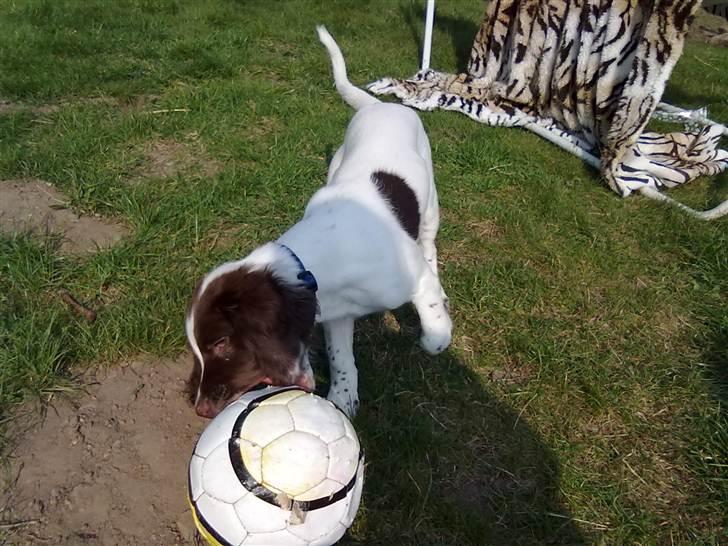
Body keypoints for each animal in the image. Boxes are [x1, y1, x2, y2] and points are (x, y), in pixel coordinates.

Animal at [185, 25, 452, 416]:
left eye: (221, 343)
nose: (201, 407)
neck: (316, 262)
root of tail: (380, 106)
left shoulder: (410, 277)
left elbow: (431, 318)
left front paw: (437, 335)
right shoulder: (338, 314)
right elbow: (341, 357)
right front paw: (342, 396)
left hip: (431, 201)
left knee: (429, 241)